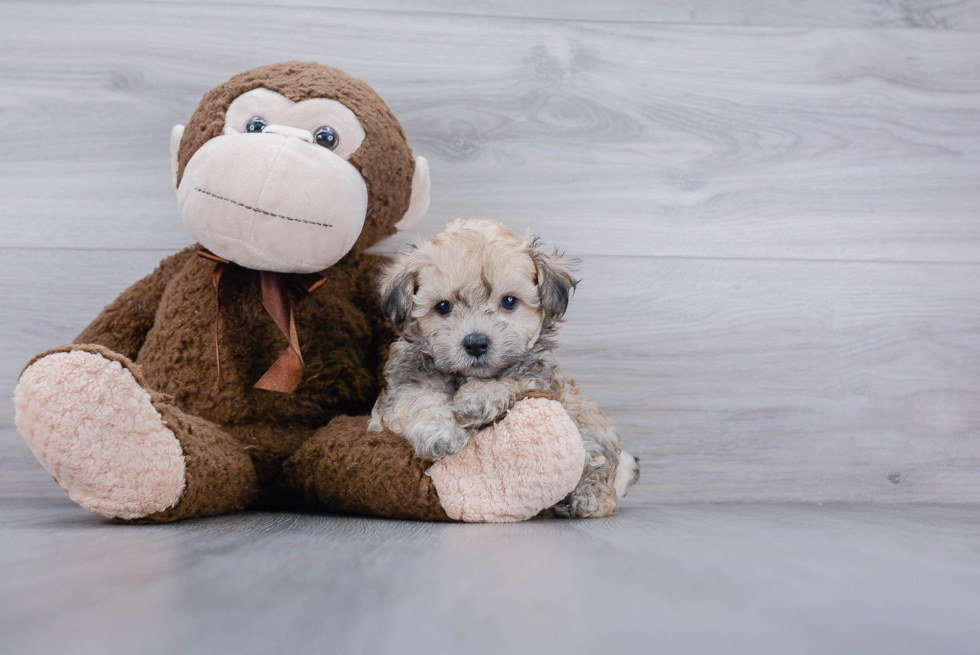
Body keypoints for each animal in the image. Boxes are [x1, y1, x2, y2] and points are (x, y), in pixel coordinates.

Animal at [366, 219, 636, 516]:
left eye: (508, 301)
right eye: (443, 307)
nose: (475, 343)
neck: (464, 376)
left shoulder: (537, 377)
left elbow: (511, 380)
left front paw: (477, 398)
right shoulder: (402, 385)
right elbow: (417, 398)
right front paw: (440, 433)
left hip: (588, 423)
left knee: (597, 462)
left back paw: (590, 498)